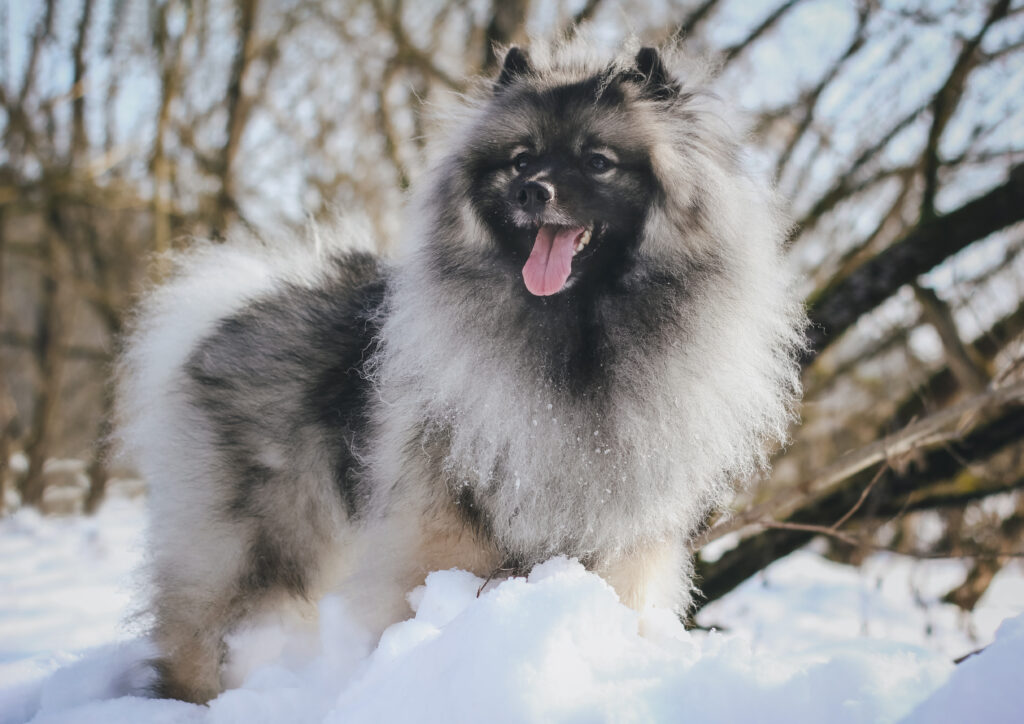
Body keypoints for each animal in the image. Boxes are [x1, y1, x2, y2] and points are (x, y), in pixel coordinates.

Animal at [116, 39, 802, 700]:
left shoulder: (623, 534)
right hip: (259, 534)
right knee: (195, 621)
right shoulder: (447, 522)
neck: (576, 340)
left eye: (597, 161)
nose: (532, 192)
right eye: (521, 160)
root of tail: (233, 306)